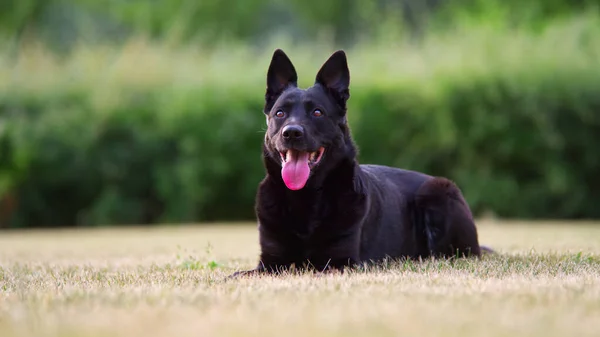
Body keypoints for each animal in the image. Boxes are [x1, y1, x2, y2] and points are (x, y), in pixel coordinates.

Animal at [232, 49, 490, 276]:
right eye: (280, 113)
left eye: (317, 112)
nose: (292, 133)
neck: (306, 197)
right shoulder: (269, 264)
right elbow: (241, 274)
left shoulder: (339, 263)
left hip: (438, 191)